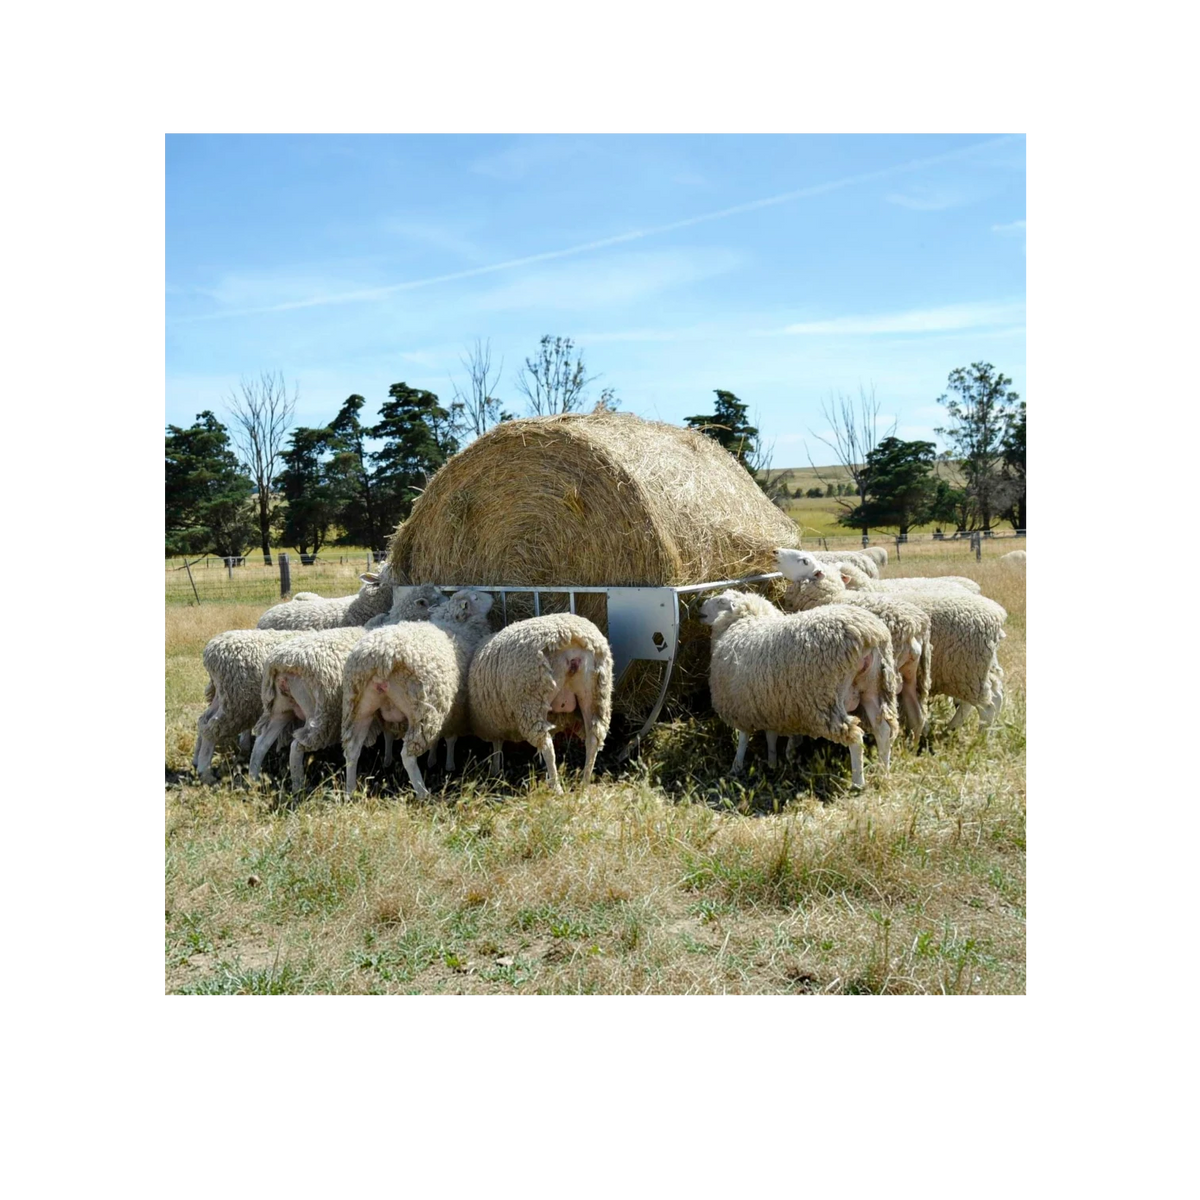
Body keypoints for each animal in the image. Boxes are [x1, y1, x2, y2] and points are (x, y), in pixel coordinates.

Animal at [193, 628, 304, 782]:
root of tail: (211, 653)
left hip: (225, 697)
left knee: (204, 720)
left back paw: (196, 761)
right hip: (237, 703)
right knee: (212, 728)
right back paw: (205, 772)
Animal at [341, 589, 494, 799]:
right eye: (476, 598)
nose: (492, 597)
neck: (458, 626)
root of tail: (381, 656)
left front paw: (432, 758)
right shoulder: (454, 708)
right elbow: (450, 739)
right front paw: (448, 764)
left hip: (357, 706)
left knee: (352, 749)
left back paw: (350, 790)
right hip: (422, 710)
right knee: (407, 755)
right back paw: (423, 793)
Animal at [466, 613, 613, 794]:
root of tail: (571, 637)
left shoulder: (493, 721)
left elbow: (496, 746)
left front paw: (495, 771)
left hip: (530, 702)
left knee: (547, 745)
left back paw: (557, 787)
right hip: (597, 694)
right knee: (593, 738)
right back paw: (583, 784)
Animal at [699, 589, 898, 789]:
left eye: (721, 601)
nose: (700, 609)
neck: (741, 622)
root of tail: (868, 635)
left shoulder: (740, 705)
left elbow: (743, 738)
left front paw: (736, 766)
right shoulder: (770, 703)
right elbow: (771, 735)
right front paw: (772, 762)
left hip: (826, 701)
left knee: (856, 739)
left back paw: (858, 783)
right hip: (875, 688)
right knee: (883, 730)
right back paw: (884, 772)